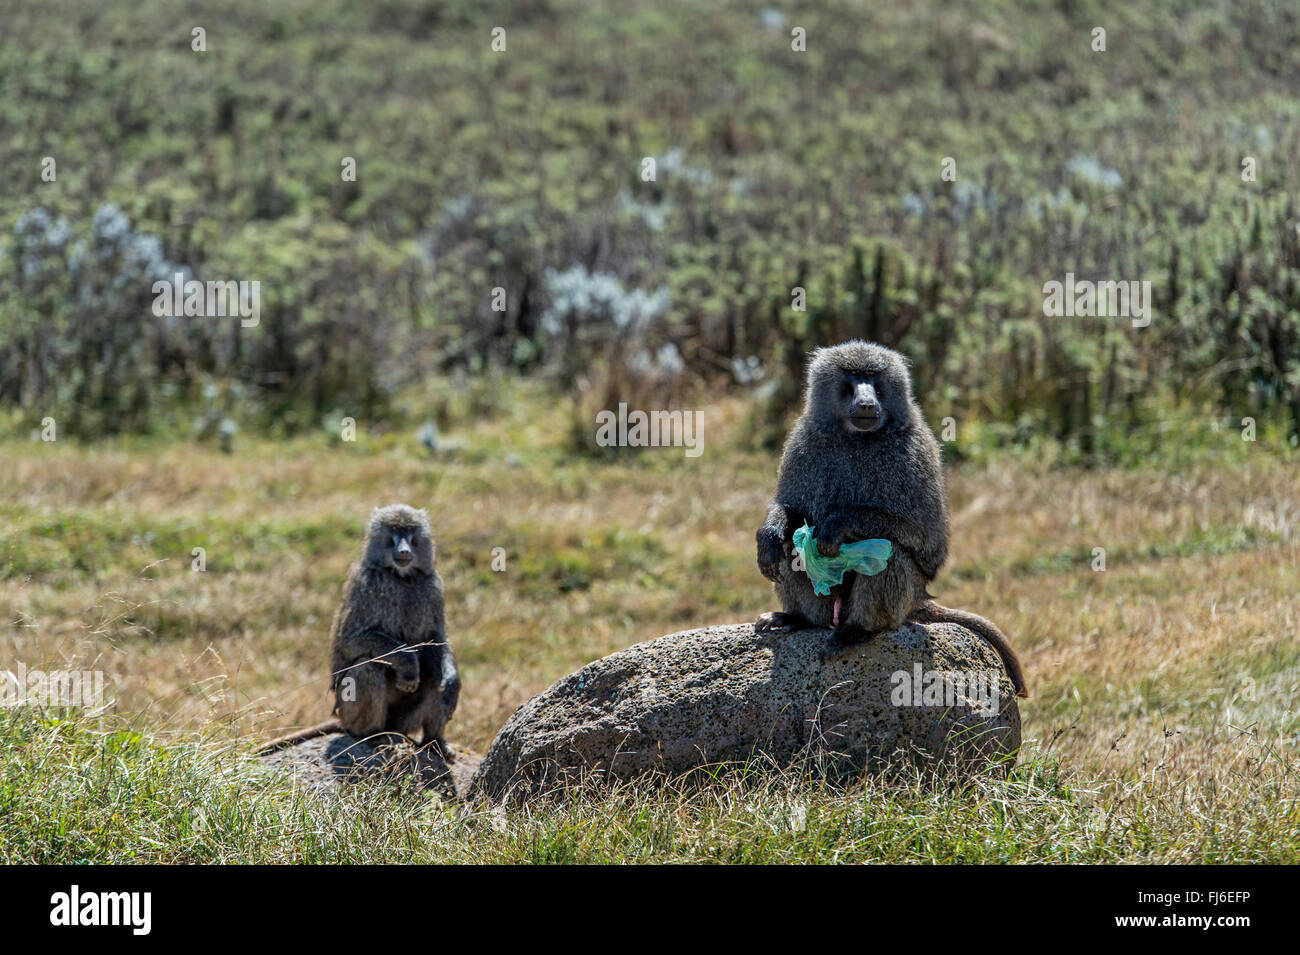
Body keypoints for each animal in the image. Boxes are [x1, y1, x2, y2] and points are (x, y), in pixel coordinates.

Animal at [256, 504, 461, 755]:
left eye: (411, 529)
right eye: (394, 529)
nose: (404, 551)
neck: (402, 578)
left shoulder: (434, 585)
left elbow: (437, 639)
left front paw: (452, 683)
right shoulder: (366, 584)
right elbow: (349, 640)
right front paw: (408, 662)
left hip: (403, 722)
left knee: (433, 675)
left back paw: (435, 741)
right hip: (347, 712)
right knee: (369, 666)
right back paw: (373, 734)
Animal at [754, 341, 1028, 698]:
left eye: (873, 377)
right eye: (853, 376)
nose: (867, 402)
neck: (857, 438)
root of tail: (919, 598)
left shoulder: (916, 450)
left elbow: (927, 540)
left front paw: (838, 524)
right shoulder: (803, 440)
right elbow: (791, 511)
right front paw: (768, 536)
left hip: (904, 596)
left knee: (888, 552)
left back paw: (858, 631)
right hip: (829, 606)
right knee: (793, 547)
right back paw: (797, 618)